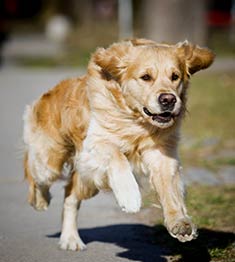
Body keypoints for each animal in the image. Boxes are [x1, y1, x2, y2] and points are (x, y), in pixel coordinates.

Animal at [23, 38, 214, 250]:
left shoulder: (162, 155)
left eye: (175, 76)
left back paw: (70, 238)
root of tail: (50, 92)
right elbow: (116, 155)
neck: (135, 121)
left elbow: (170, 190)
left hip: (87, 182)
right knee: (34, 172)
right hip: (49, 161)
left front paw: (179, 222)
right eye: (146, 77)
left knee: (70, 196)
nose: (169, 99)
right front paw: (130, 196)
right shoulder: (92, 145)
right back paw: (41, 201)